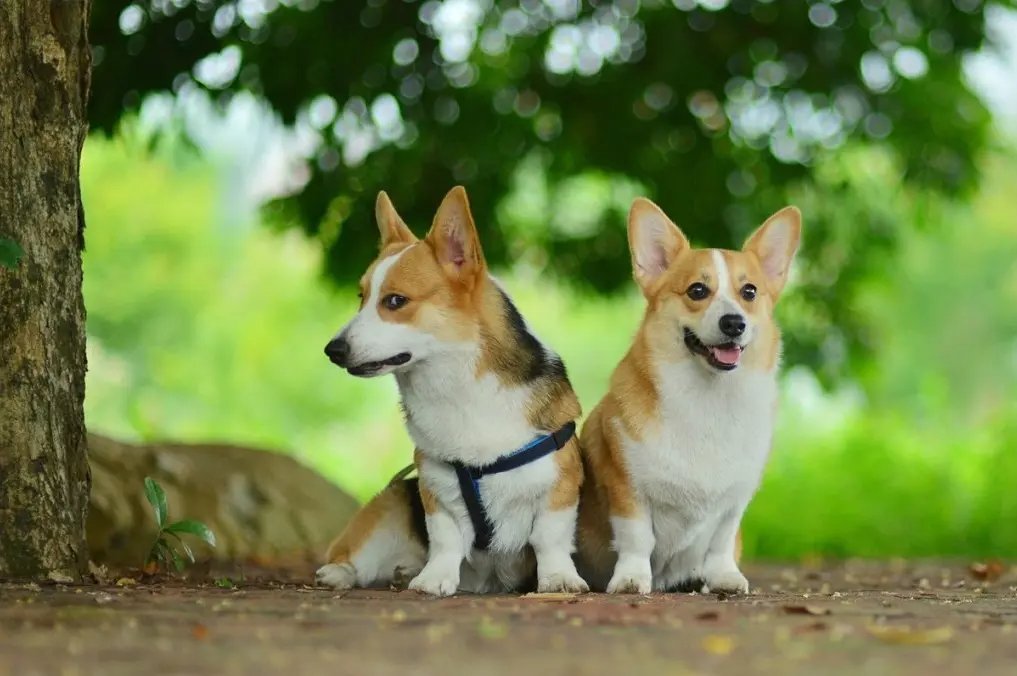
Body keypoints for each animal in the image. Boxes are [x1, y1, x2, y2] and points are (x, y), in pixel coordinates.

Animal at [315, 186, 589, 597]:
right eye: (360, 297)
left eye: (395, 301)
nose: (333, 350)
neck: (457, 385)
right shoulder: (436, 488)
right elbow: (445, 539)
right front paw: (432, 579)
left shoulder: (559, 484)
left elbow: (549, 537)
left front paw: (558, 578)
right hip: (388, 509)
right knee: (357, 559)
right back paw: (349, 573)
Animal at [577, 198, 797, 593]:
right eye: (697, 291)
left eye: (749, 292)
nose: (734, 323)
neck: (708, 399)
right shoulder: (627, 487)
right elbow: (637, 538)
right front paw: (631, 578)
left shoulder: (734, 500)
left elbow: (721, 541)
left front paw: (724, 577)